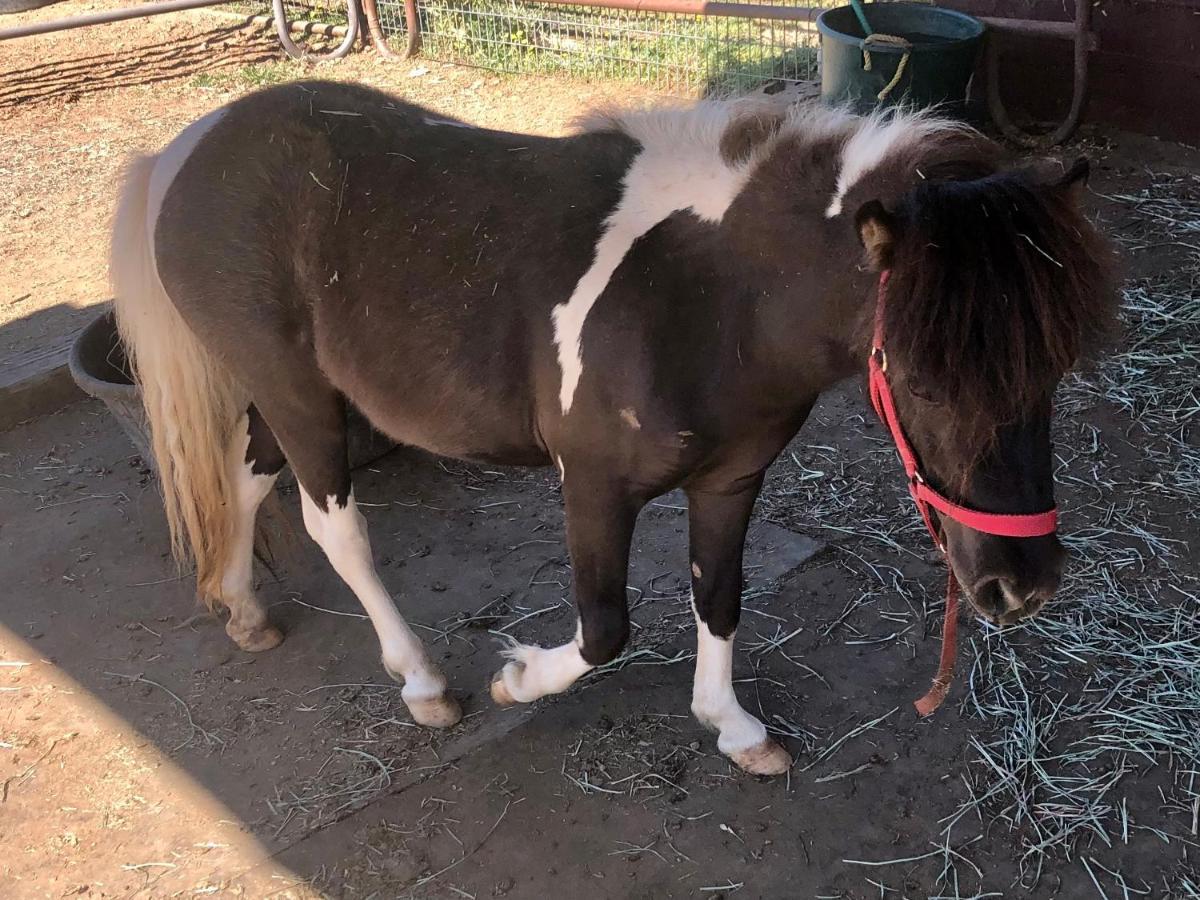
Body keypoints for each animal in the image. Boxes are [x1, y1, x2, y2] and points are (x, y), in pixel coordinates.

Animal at [110, 81, 1113, 777]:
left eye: (1054, 371)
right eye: (920, 381)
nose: (1021, 588)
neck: (712, 298)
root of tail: (186, 150)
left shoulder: (731, 478)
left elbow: (721, 595)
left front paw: (733, 728)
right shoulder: (592, 485)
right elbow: (604, 630)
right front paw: (517, 679)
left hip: (295, 397)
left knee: (248, 474)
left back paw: (242, 608)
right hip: (300, 396)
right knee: (337, 527)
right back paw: (425, 683)